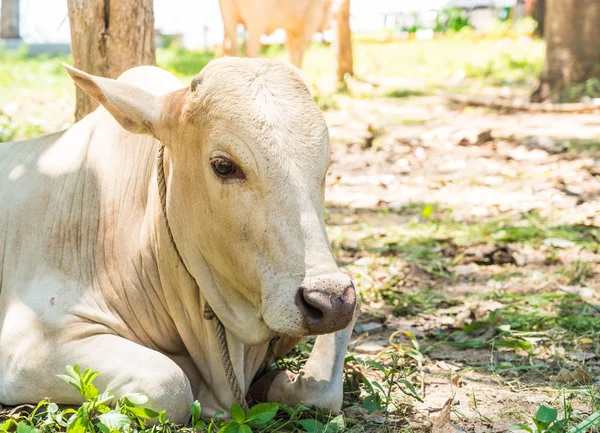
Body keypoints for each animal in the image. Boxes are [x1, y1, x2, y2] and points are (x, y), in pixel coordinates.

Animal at [0, 57, 356, 422]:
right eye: (223, 165)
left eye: (325, 164)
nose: (331, 302)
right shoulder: (31, 342)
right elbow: (169, 385)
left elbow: (322, 391)